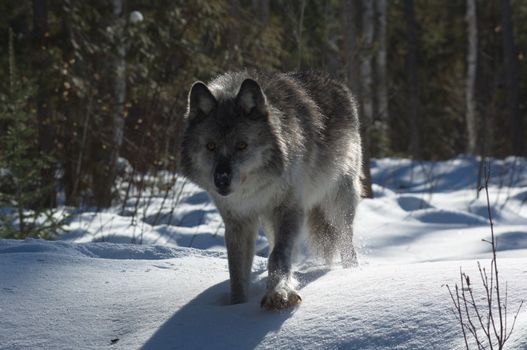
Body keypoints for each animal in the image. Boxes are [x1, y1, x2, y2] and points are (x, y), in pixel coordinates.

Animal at [182, 70, 364, 308]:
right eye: (210, 146)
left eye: (242, 146)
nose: (221, 180)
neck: (253, 191)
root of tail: (335, 83)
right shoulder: (238, 221)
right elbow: (237, 272)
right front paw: (236, 306)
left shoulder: (288, 210)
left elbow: (277, 255)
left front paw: (279, 293)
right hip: (270, 221)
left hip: (338, 203)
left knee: (345, 242)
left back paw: (351, 272)